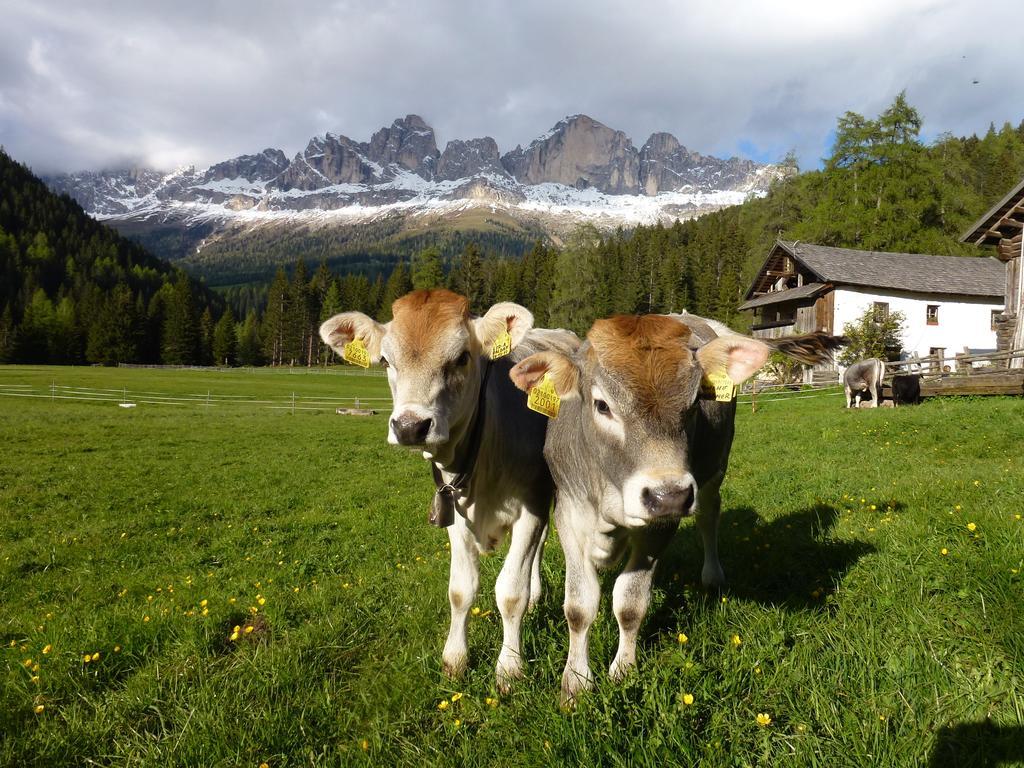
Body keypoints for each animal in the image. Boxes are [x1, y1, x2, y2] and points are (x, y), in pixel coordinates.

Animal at [319, 290, 577, 692]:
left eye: (461, 358)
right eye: (386, 361)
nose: (410, 426)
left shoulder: (531, 505)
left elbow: (510, 592)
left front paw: (509, 668)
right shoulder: (454, 511)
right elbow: (461, 589)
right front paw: (455, 659)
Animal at [509, 313, 839, 704]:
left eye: (695, 402)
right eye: (602, 405)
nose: (669, 496)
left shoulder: (659, 527)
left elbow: (630, 602)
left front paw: (623, 669)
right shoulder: (571, 514)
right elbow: (579, 606)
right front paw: (575, 681)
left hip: (714, 471)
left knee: (709, 517)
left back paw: (712, 576)